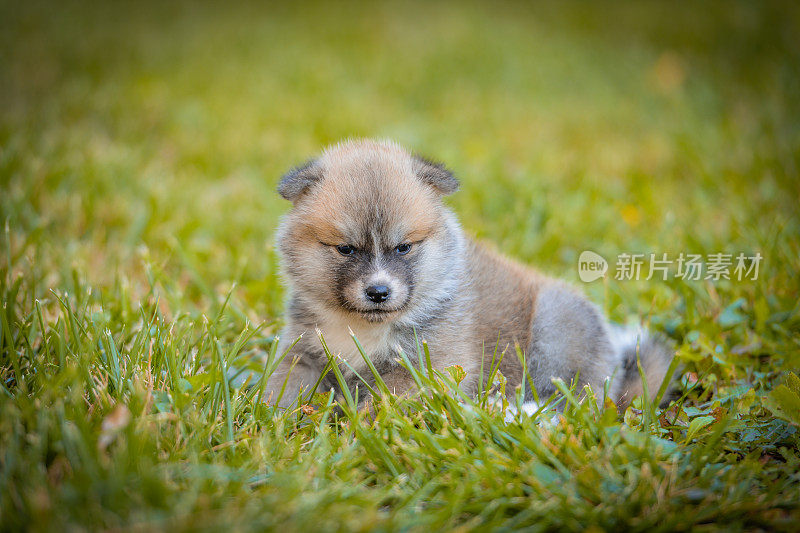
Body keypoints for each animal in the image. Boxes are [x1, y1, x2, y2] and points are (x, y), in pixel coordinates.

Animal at [264, 139, 676, 410]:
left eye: (404, 247)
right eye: (346, 249)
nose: (378, 291)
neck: (361, 326)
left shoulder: (426, 367)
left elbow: (379, 406)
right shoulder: (304, 350)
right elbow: (284, 385)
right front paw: (271, 421)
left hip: (555, 329)